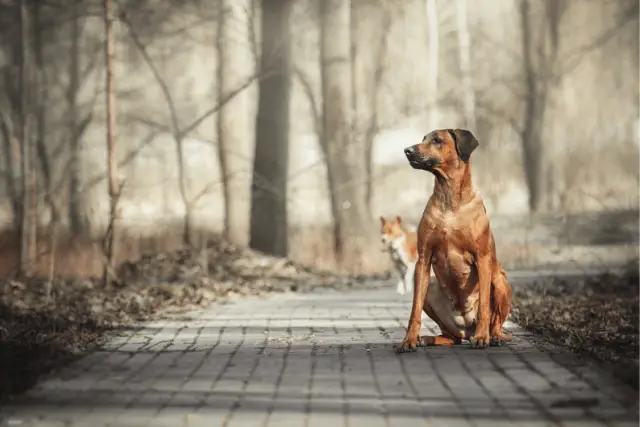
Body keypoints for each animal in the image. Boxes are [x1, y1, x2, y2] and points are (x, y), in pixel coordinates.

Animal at [396, 130, 516, 352]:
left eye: (437, 140)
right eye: (423, 138)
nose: (407, 150)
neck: (449, 195)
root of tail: (467, 329)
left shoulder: (482, 258)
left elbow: (485, 306)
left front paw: (482, 338)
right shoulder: (423, 259)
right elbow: (414, 309)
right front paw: (408, 340)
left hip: (500, 281)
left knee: (495, 322)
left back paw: (493, 336)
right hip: (432, 287)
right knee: (452, 337)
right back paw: (429, 338)